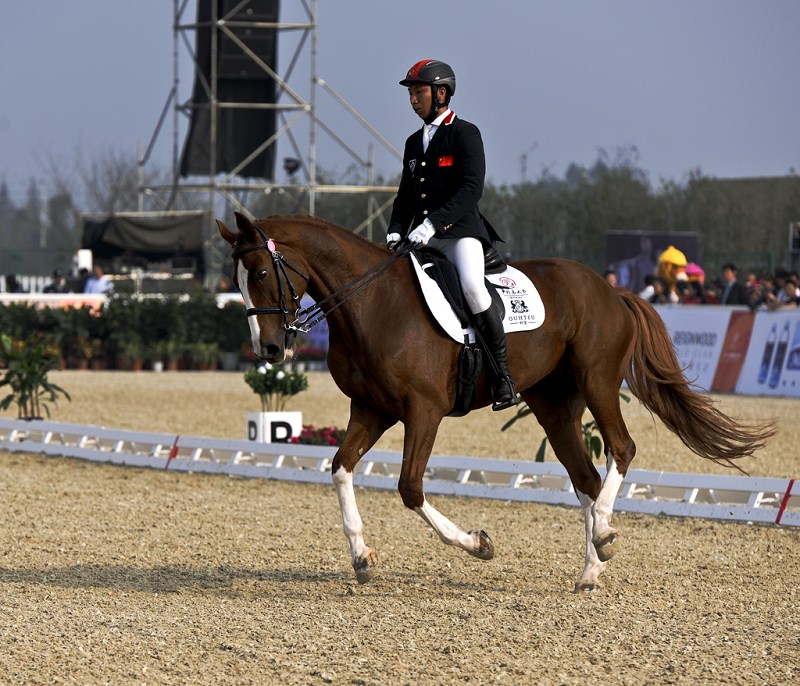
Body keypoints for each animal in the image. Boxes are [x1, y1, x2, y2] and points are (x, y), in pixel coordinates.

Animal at [219, 212, 776, 592]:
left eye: (262, 274)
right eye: (237, 281)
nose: (268, 350)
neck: (371, 305)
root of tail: (609, 289)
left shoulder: (423, 411)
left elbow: (410, 487)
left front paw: (479, 545)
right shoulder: (372, 410)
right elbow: (339, 468)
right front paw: (361, 556)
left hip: (598, 381)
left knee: (621, 449)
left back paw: (605, 536)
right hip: (554, 403)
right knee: (585, 478)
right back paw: (590, 569)